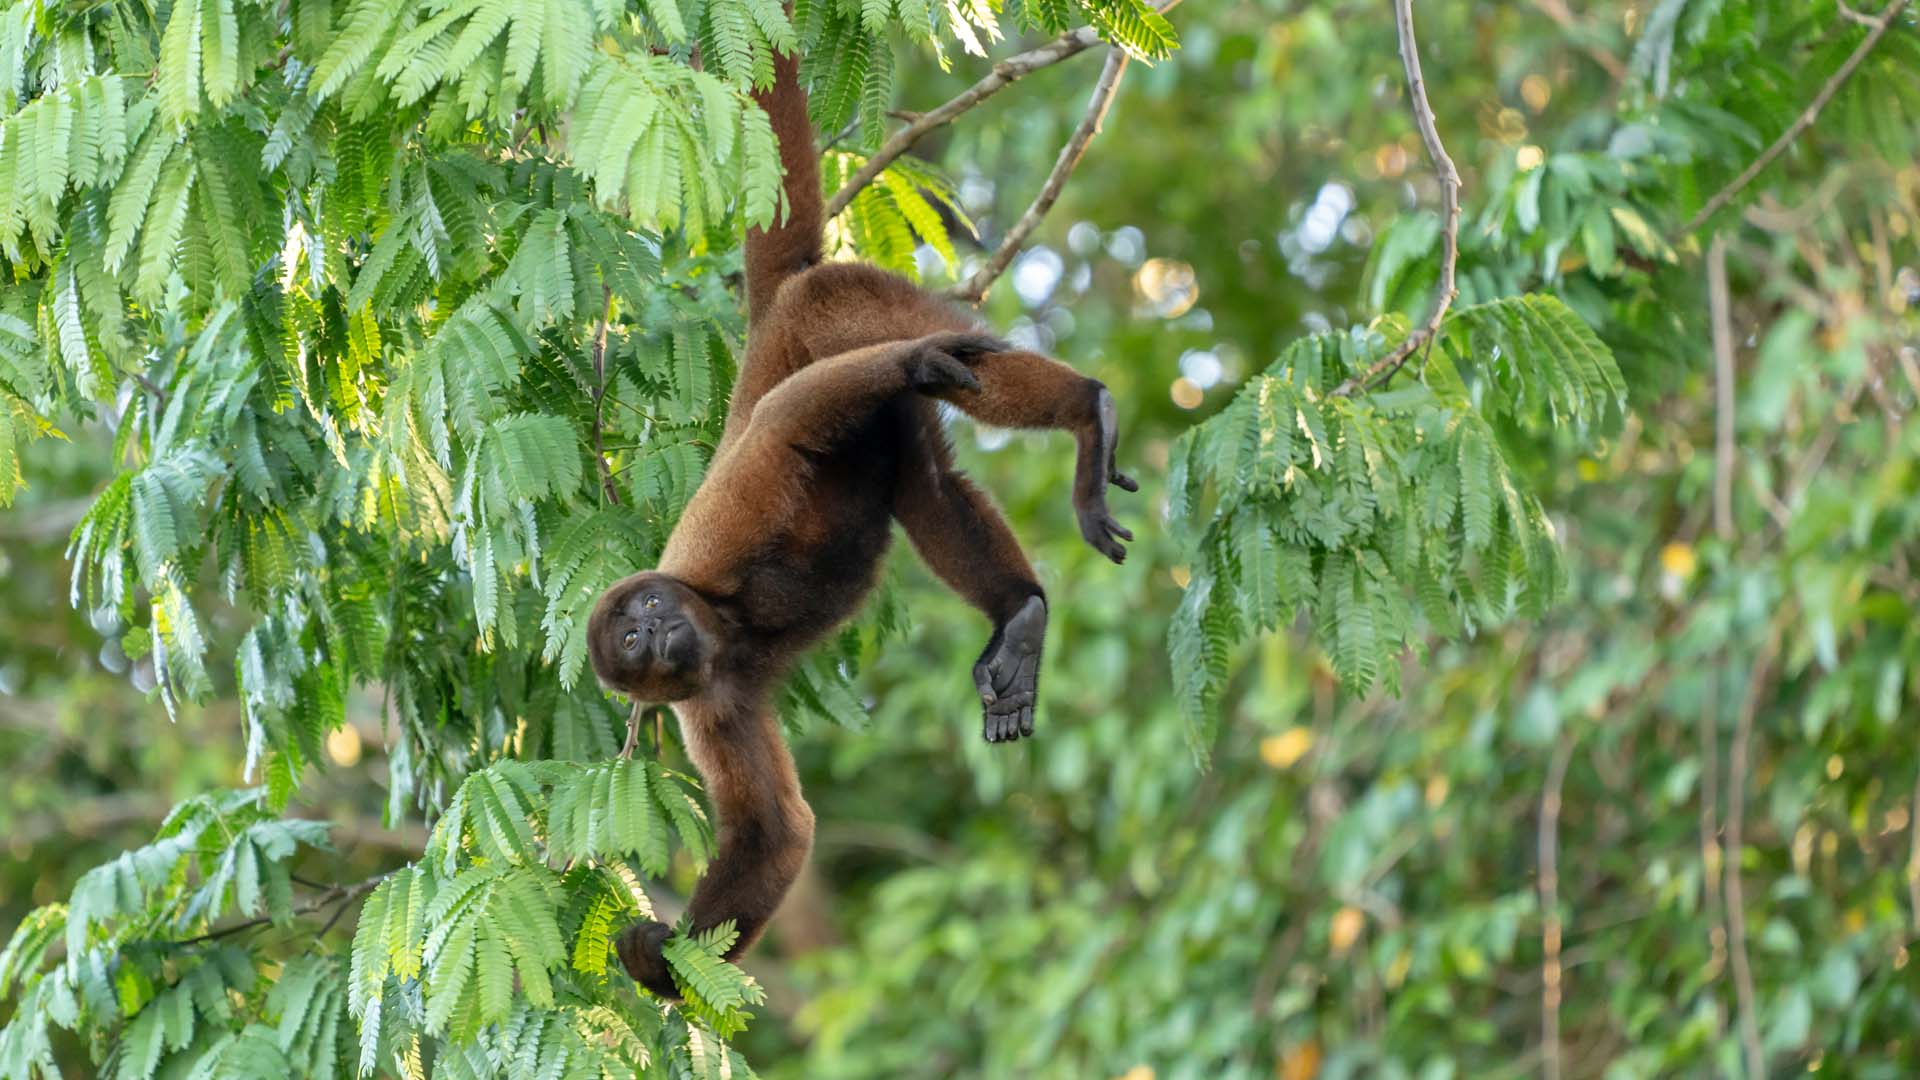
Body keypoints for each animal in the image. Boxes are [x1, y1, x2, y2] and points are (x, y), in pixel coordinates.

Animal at [585, 45, 1136, 1000]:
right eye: (629, 645)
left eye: (648, 613)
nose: (652, 634)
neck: (718, 623)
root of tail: (770, 310)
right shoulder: (708, 703)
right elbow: (780, 831)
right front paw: (661, 960)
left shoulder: (719, 533)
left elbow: (784, 426)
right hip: (889, 422)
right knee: (931, 488)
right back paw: (1019, 617)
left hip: (837, 300)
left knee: (890, 373)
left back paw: (1080, 409)